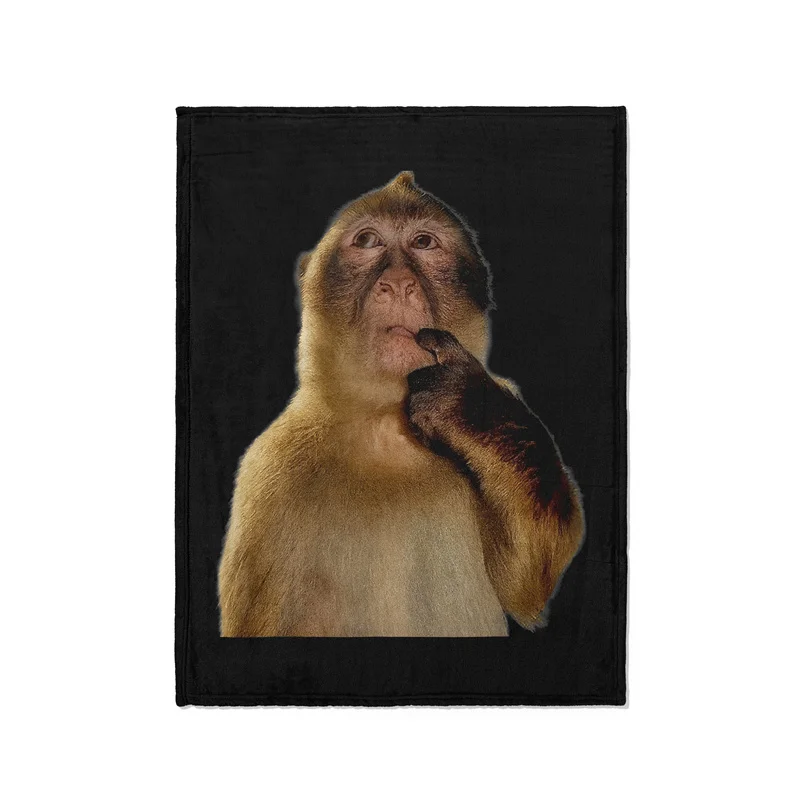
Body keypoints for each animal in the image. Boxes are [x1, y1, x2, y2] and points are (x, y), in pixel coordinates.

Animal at [218, 171, 585, 637]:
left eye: (424, 242)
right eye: (368, 240)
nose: (397, 284)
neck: (385, 428)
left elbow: (528, 581)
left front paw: (469, 406)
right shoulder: (271, 476)